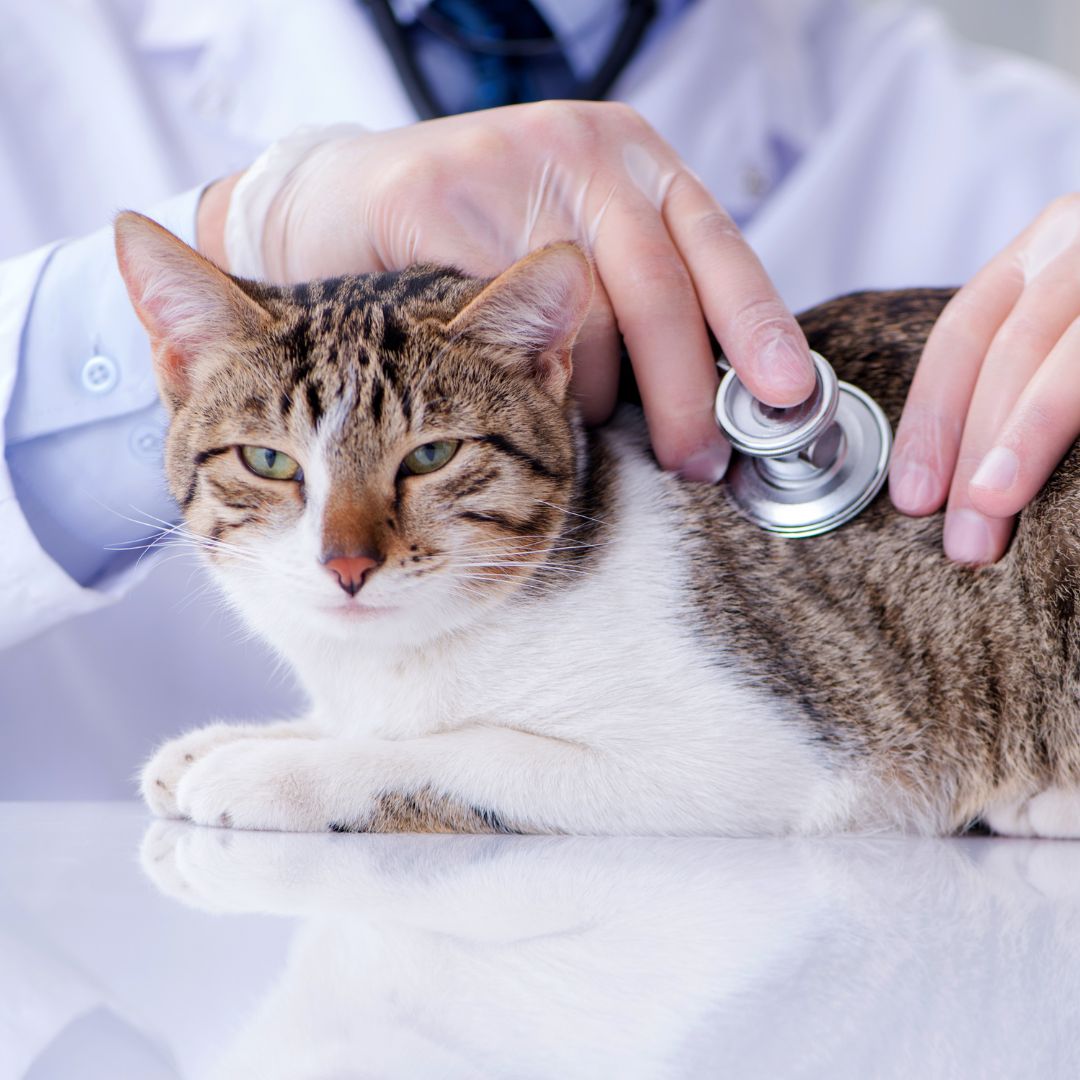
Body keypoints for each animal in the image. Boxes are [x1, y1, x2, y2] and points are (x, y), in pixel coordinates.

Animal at [116, 208, 1080, 833]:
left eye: (430, 457)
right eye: (270, 462)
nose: (345, 564)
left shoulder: (761, 755)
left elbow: (461, 752)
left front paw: (277, 767)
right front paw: (248, 738)